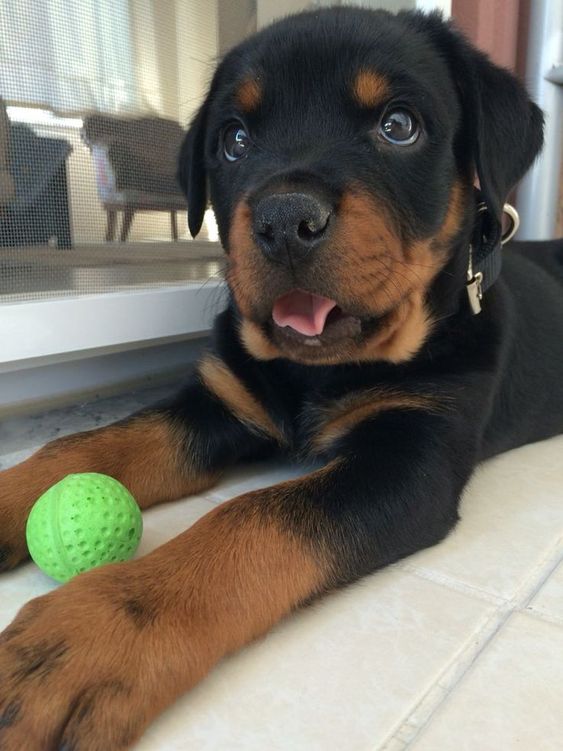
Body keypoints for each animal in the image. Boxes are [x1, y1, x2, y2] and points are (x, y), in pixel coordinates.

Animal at [1, 7, 563, 751]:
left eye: (398, 125)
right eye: (234, 140)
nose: (282, 221)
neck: (312, 372)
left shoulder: (409, 458)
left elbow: (250, 519)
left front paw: (94, 630)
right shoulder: (219, 402)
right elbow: (82, 445)